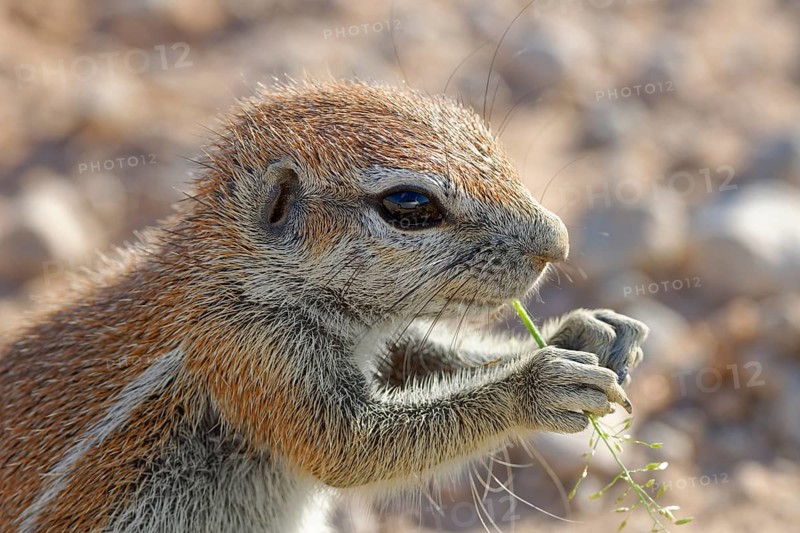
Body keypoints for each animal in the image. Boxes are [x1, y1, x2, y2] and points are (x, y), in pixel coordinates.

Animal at [0, 79, 648, 532]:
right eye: (408, 204)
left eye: (480, 130)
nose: (558, 242)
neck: (239, 278)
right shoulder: (254, 350)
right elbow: (348, 448)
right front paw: (540, 385)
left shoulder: (375, 338)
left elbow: (420, 358)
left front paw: (588, 332)